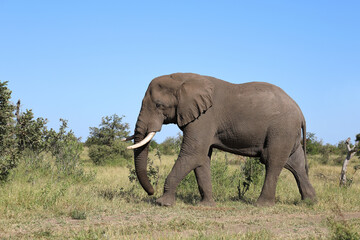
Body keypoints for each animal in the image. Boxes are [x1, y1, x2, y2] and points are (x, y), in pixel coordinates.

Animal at [125, 72, 316, 206]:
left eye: (159, 105)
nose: (151, 192)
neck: (184, 79)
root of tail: (301, 113)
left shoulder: (204, 117)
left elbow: (193, 153)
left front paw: (162, 203)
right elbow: (202, 158)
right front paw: (206, 205)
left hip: (281, 130)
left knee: (273, 162)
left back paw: (262, 205)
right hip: (288, 132)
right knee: (296, 163)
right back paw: (309, 201)